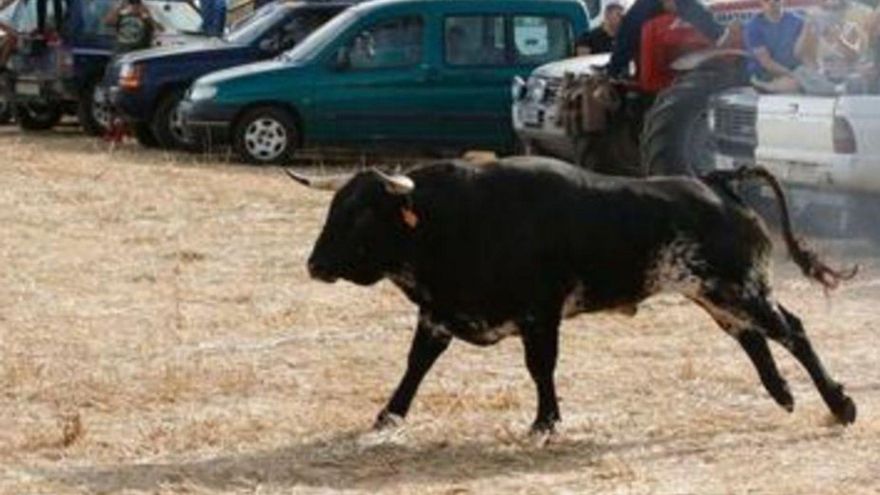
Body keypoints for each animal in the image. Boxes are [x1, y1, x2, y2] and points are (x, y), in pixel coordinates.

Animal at [290, 157, 860, 432]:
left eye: (361, 213)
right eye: (334, 207)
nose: (314, 264)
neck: (451, 219)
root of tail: (715, 181)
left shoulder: (540, 314)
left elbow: (540, 368)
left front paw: (545, 423)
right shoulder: (439, 314)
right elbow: (416, 365)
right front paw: (389, 415)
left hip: (741, 289)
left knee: (792, 331)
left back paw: (839, 403)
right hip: (715, 294)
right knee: (754, 339)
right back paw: (784, 395)